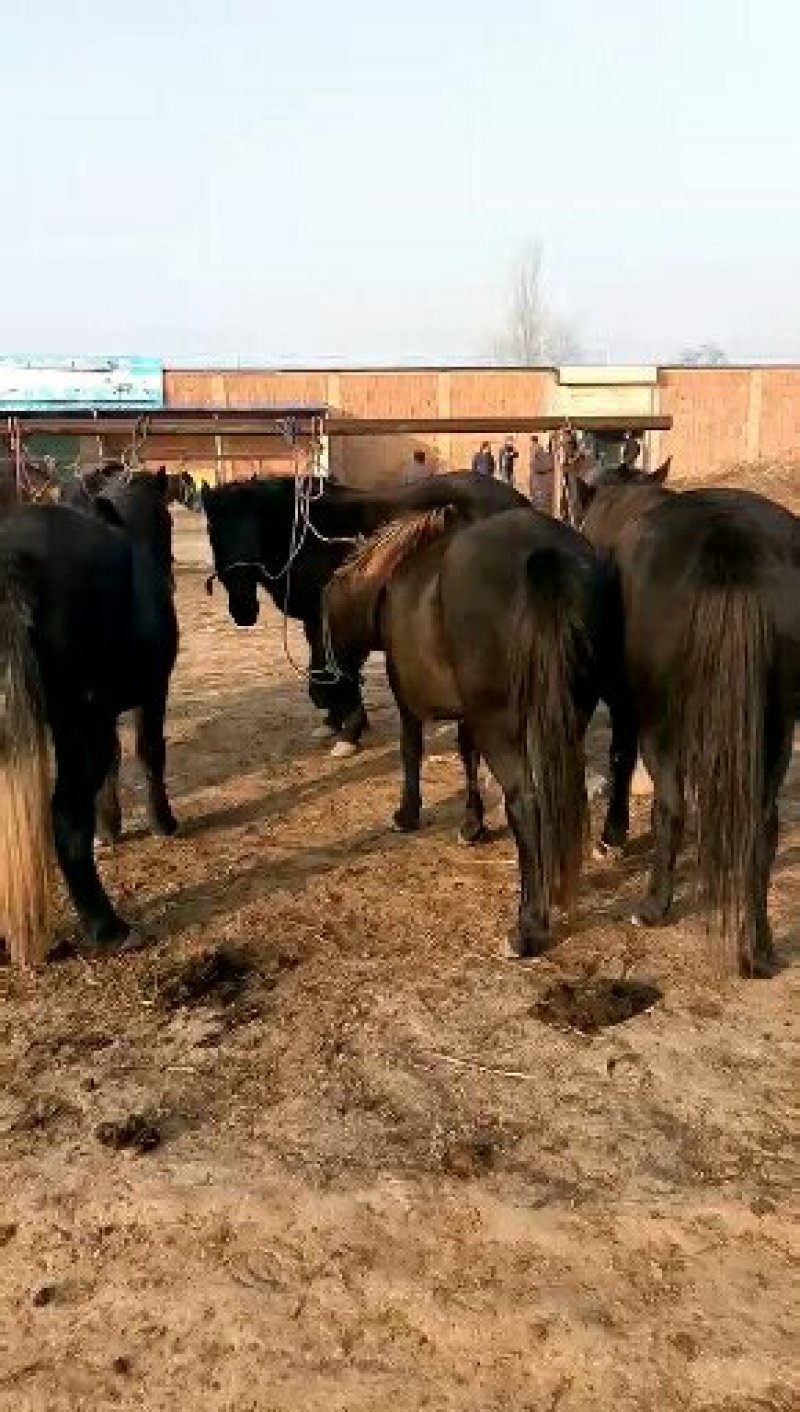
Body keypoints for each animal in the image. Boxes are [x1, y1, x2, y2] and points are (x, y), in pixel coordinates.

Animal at [0, 468, 179, 965]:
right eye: (168, 520)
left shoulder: (105, 711)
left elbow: (116, 762)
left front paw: (110, 827)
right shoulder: (149, 693)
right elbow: (149, 752)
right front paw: (162, 822)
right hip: (78, 726)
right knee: (64, 818)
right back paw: (108, 927)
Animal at [201, 471, 527, 753]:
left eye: (250, 528)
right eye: (213, 532)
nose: (243, 611)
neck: (312, 539)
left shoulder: (332, 619)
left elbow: (340, 670)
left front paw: (349, 733)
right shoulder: (317, 622)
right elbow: (324, 668)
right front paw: (334, 722)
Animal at [325, 505, 623, 957]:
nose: (330, 693)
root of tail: (543, 553)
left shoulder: (409, 701)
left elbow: (411, 750)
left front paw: (406, 814)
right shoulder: (470, 715)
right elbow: (467, 755)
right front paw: (473, 825)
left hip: (504, 728)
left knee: (527, 802)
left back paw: (529, 928)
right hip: (566, 716)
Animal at [580, 464, 800, 977]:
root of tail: (734, 544)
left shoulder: (626, 704)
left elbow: (620, 758)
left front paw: (612, 836)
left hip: (664, 727)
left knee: (672, 807)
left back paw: (653, 907)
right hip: (776, 731)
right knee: (763, 828)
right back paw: (757, 949)